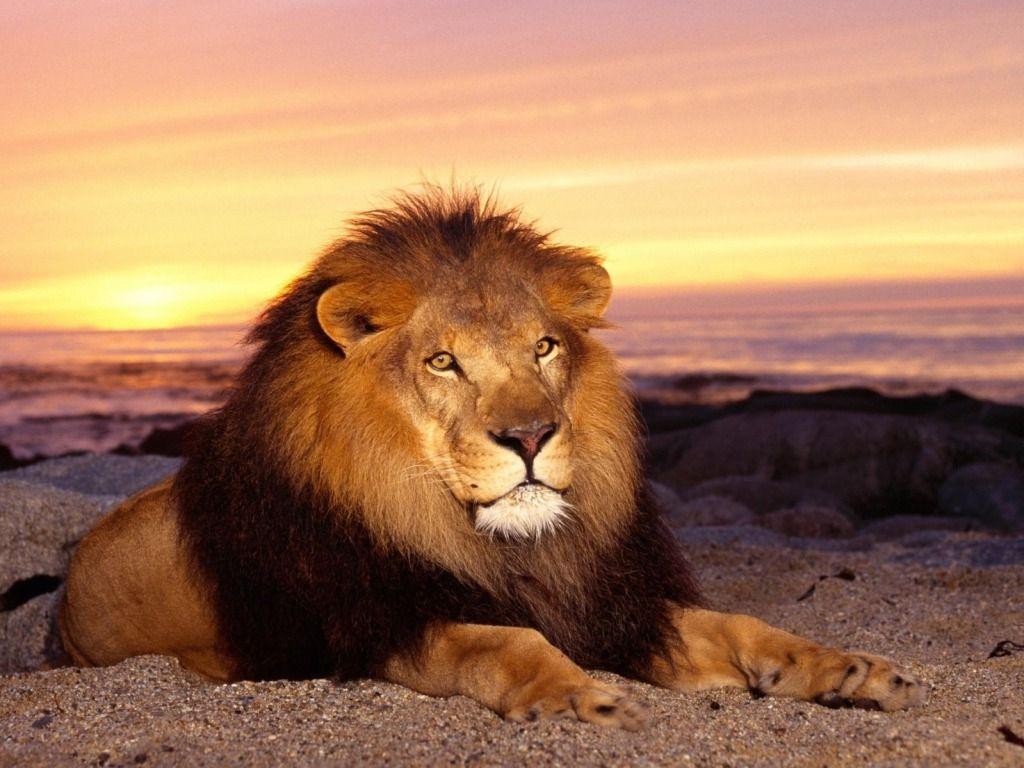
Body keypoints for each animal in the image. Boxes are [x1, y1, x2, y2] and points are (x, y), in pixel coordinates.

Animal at [59, 188, 925, 729]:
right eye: (444, 363)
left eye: (543, 348)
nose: (533, 437)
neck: (502, 546)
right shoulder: (379, 625)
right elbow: (503, 641)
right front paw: (582, 698)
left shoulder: (609, 603)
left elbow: (743, 624)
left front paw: (846, 669)